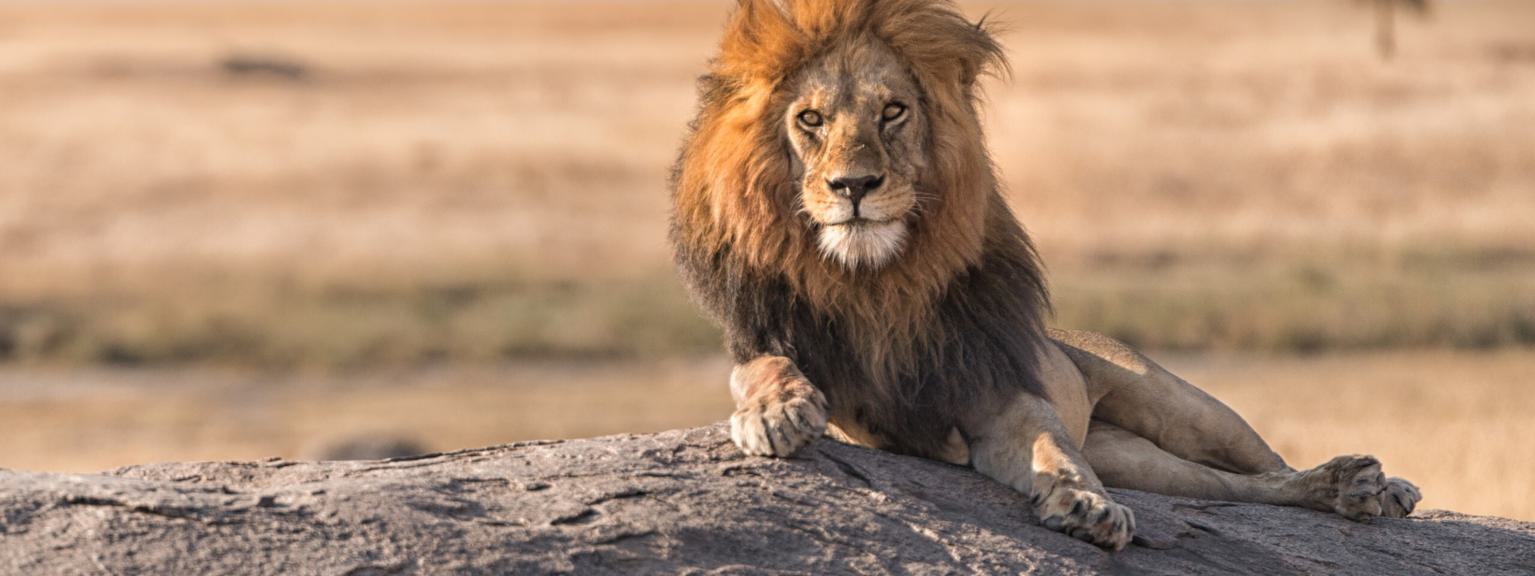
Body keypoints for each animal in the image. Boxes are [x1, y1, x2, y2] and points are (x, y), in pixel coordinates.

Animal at [669, 0, 1421, 550]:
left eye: (893, 111)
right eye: (811, 120)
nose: (853, 186)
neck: (876, 280)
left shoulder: (998, 392)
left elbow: (1050, 449)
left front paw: (1086, 505)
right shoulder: (813, 375)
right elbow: (762, 368)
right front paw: (776, 411)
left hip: (1183, 409)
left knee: (1266, 468)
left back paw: (1370, 487)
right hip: (1140, 460)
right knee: (1227, 489)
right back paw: (1352, 490)